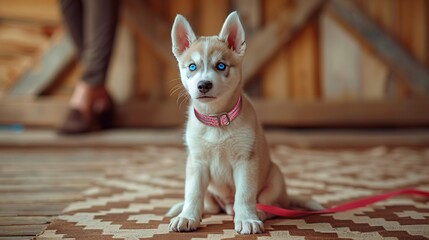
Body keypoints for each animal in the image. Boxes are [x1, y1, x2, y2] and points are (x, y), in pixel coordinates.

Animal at [167, 11, 320, 234]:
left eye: (221, 65)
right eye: (192, 67)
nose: (204, 85)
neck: (217, 121)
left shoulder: (245, 161)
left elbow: (245, 194)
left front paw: (247, 219)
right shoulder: (197, 162)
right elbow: (193, 194)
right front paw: (187, 217)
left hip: (275, 177)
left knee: (273, 206)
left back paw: (259, 213)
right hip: (211, 194)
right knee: (210, 206)